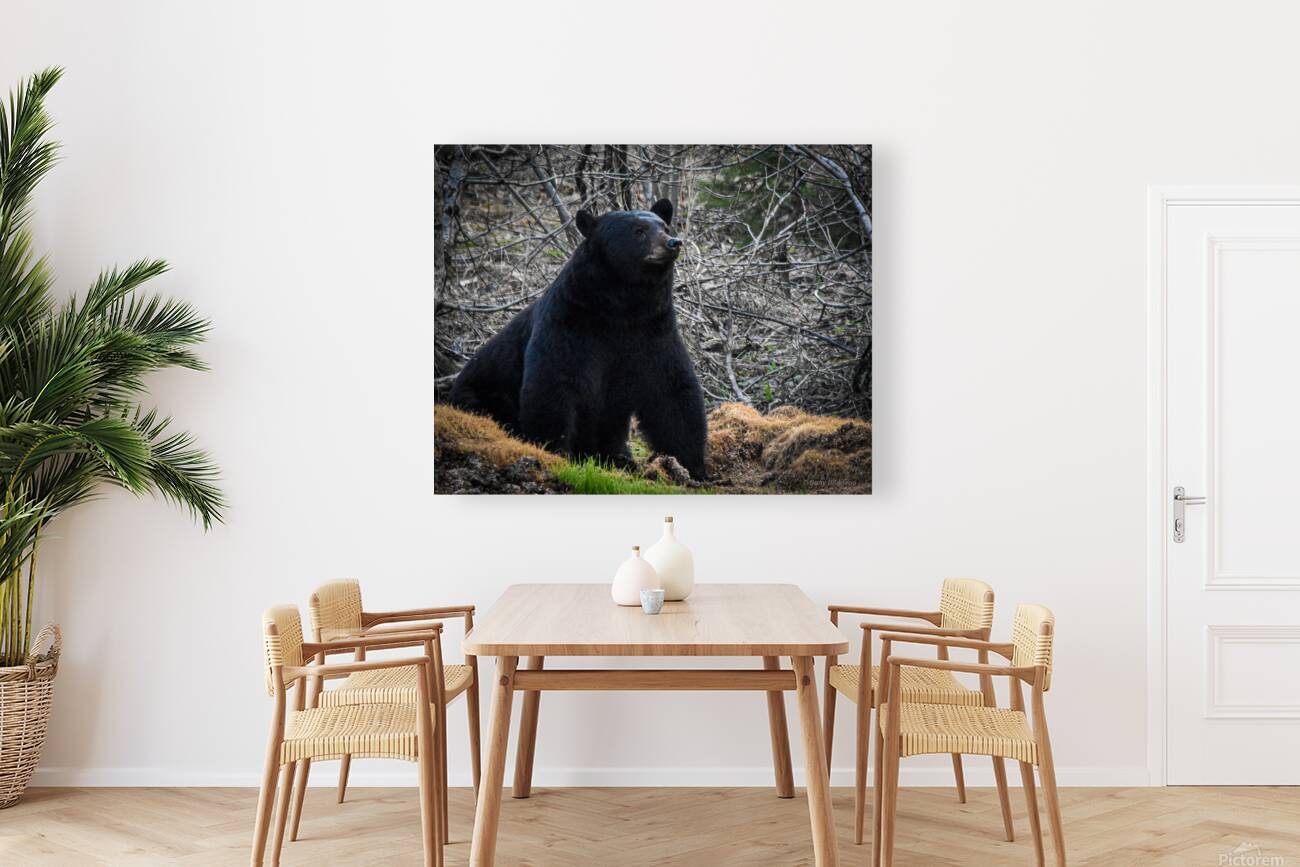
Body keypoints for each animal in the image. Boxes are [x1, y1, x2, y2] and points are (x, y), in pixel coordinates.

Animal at [449, 198, 708, 480]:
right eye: (638, 231)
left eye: (665, 227)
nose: (673, 242)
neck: (622, 308)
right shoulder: (570, 322)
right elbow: (553, 382)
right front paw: (554, 453)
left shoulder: (653, 330)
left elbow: (671, 389)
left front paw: (692, 466)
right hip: (483, 393)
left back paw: (620, 458)